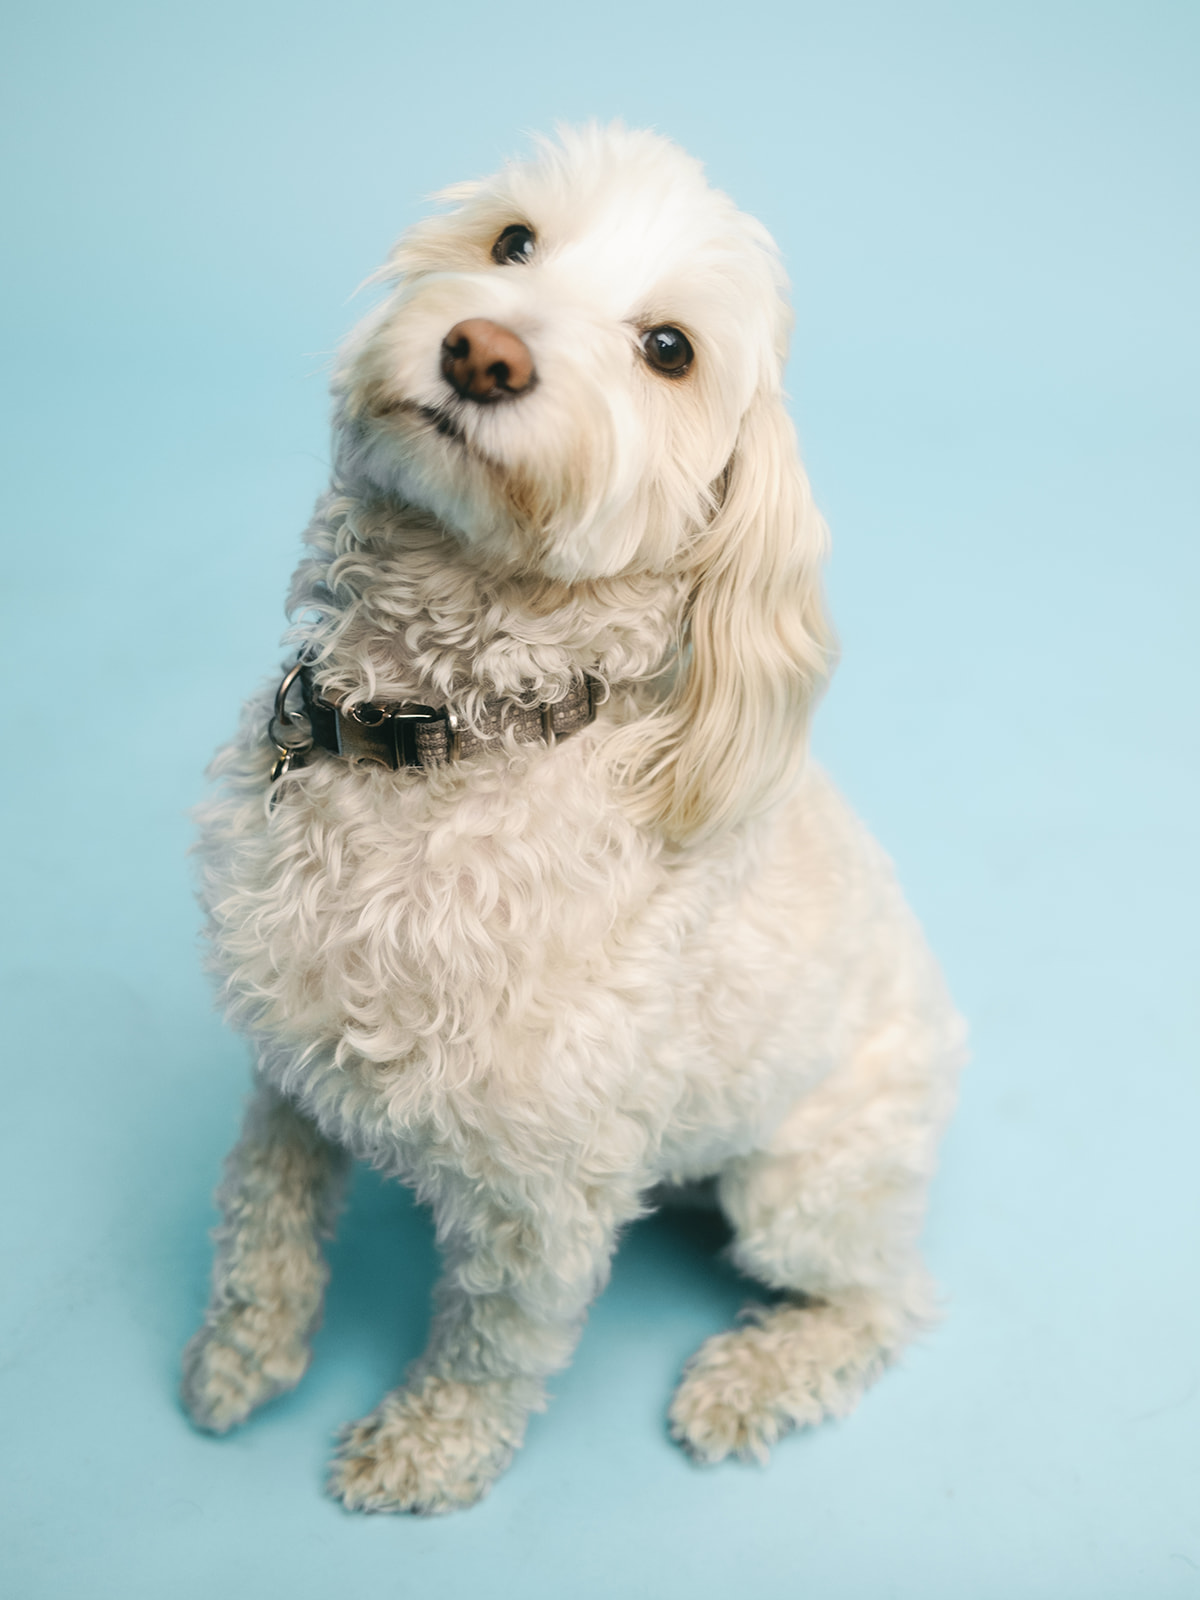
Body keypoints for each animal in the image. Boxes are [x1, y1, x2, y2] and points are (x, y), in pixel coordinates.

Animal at [180, 124, 966, 1510]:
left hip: (806, 1181)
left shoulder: (543, 1191)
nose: (483, 352)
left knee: (884, 1300)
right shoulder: (288, 1056)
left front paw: (424, 1450)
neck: (444, 734)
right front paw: (243, 1354)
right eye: (512, 242)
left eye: (669, 348)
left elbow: (492, 1344)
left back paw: (752, 1376)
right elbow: (262, 1209)